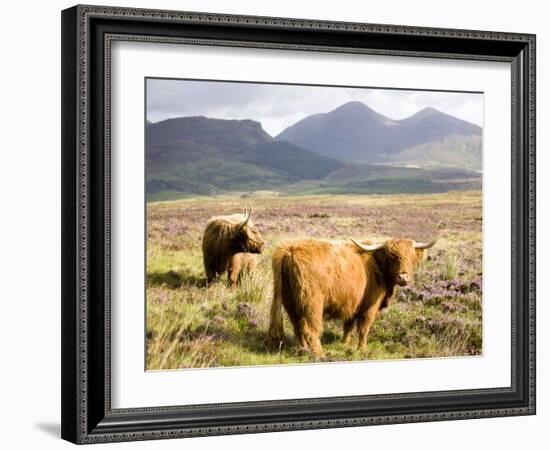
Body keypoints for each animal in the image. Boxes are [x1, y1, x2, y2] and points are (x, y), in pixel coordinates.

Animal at [268, 236, 440, 356]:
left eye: (410, 257)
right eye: (392, 256)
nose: (403, 276)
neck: (377, 265)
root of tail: (290, 249)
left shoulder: (352, 304)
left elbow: (348, 326)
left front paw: (344, 344)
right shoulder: (370, 306)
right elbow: (364, 329)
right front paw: (361, 349)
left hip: (290, 302)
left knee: (297, 327)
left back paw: (303, 350)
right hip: (312, 302)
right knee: (310, 329)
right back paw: (319, 354)